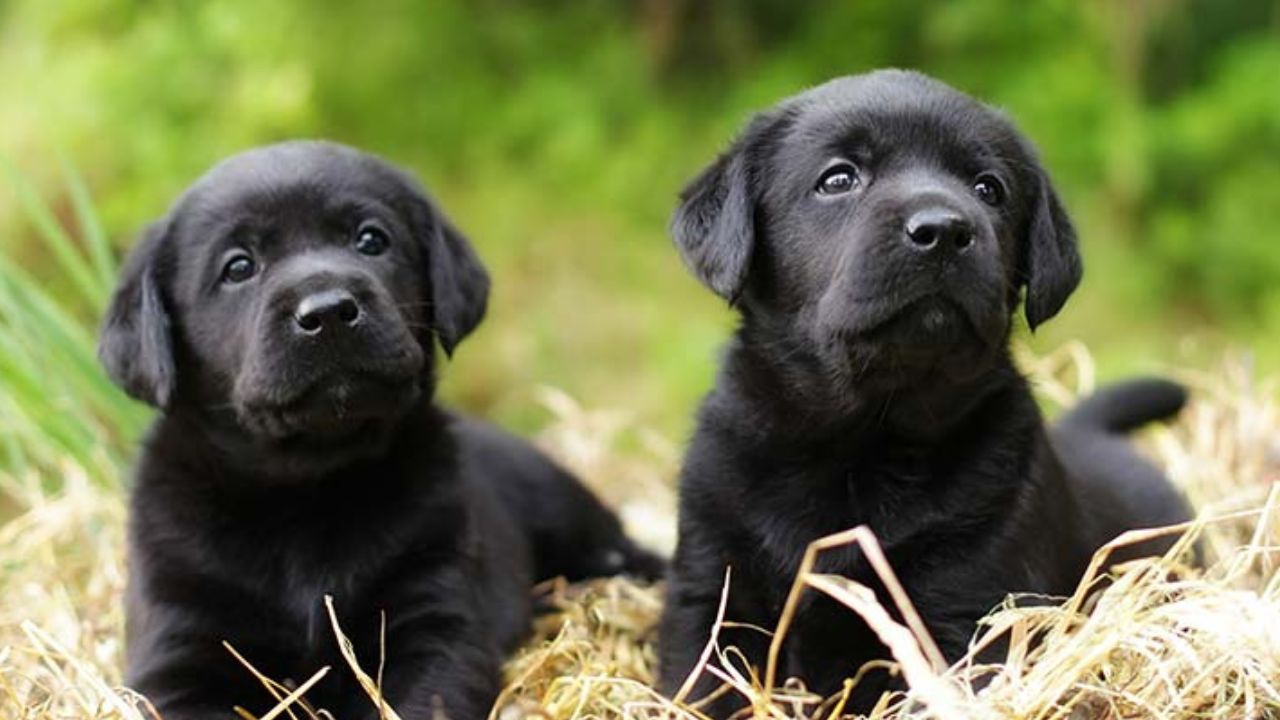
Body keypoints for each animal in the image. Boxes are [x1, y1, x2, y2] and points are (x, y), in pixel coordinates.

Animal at [97, 141, 660, 717]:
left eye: (371, 239)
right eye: (238, 266)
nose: (328, 311)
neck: (305, 490)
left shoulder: (434, 623)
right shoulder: (179, 651)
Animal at [655, 70, 1192, 707]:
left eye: (989, 189)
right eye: (838, 178)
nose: (944, 230)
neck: (864, 439)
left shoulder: (973, 606)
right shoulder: (711, 588)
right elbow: (702, 683)